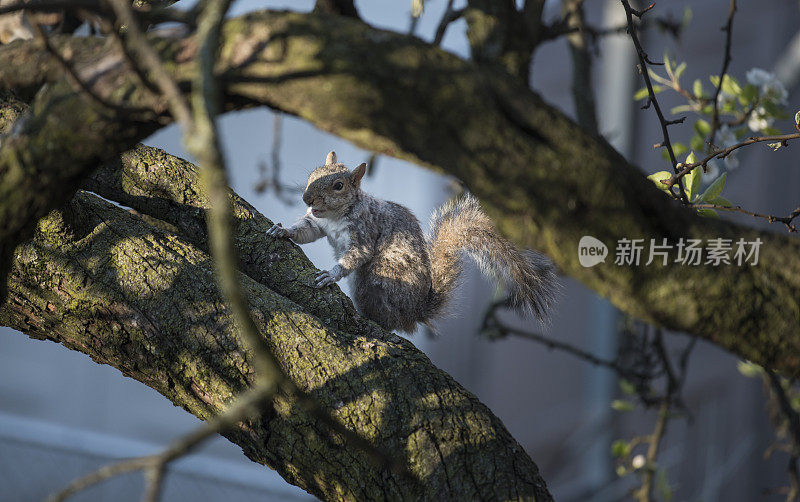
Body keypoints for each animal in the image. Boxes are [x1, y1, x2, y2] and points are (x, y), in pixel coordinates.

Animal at [268, 153, 556, 334]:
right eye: (313, 174)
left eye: (338, 185)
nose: (307, 198)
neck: (335, 216)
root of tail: (416, 312)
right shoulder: (316, 224)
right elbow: (304, 231)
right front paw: (282, 231)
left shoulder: (364, 233)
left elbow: (355, 256)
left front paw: (330, 274)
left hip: (378, 280)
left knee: (387, 319)